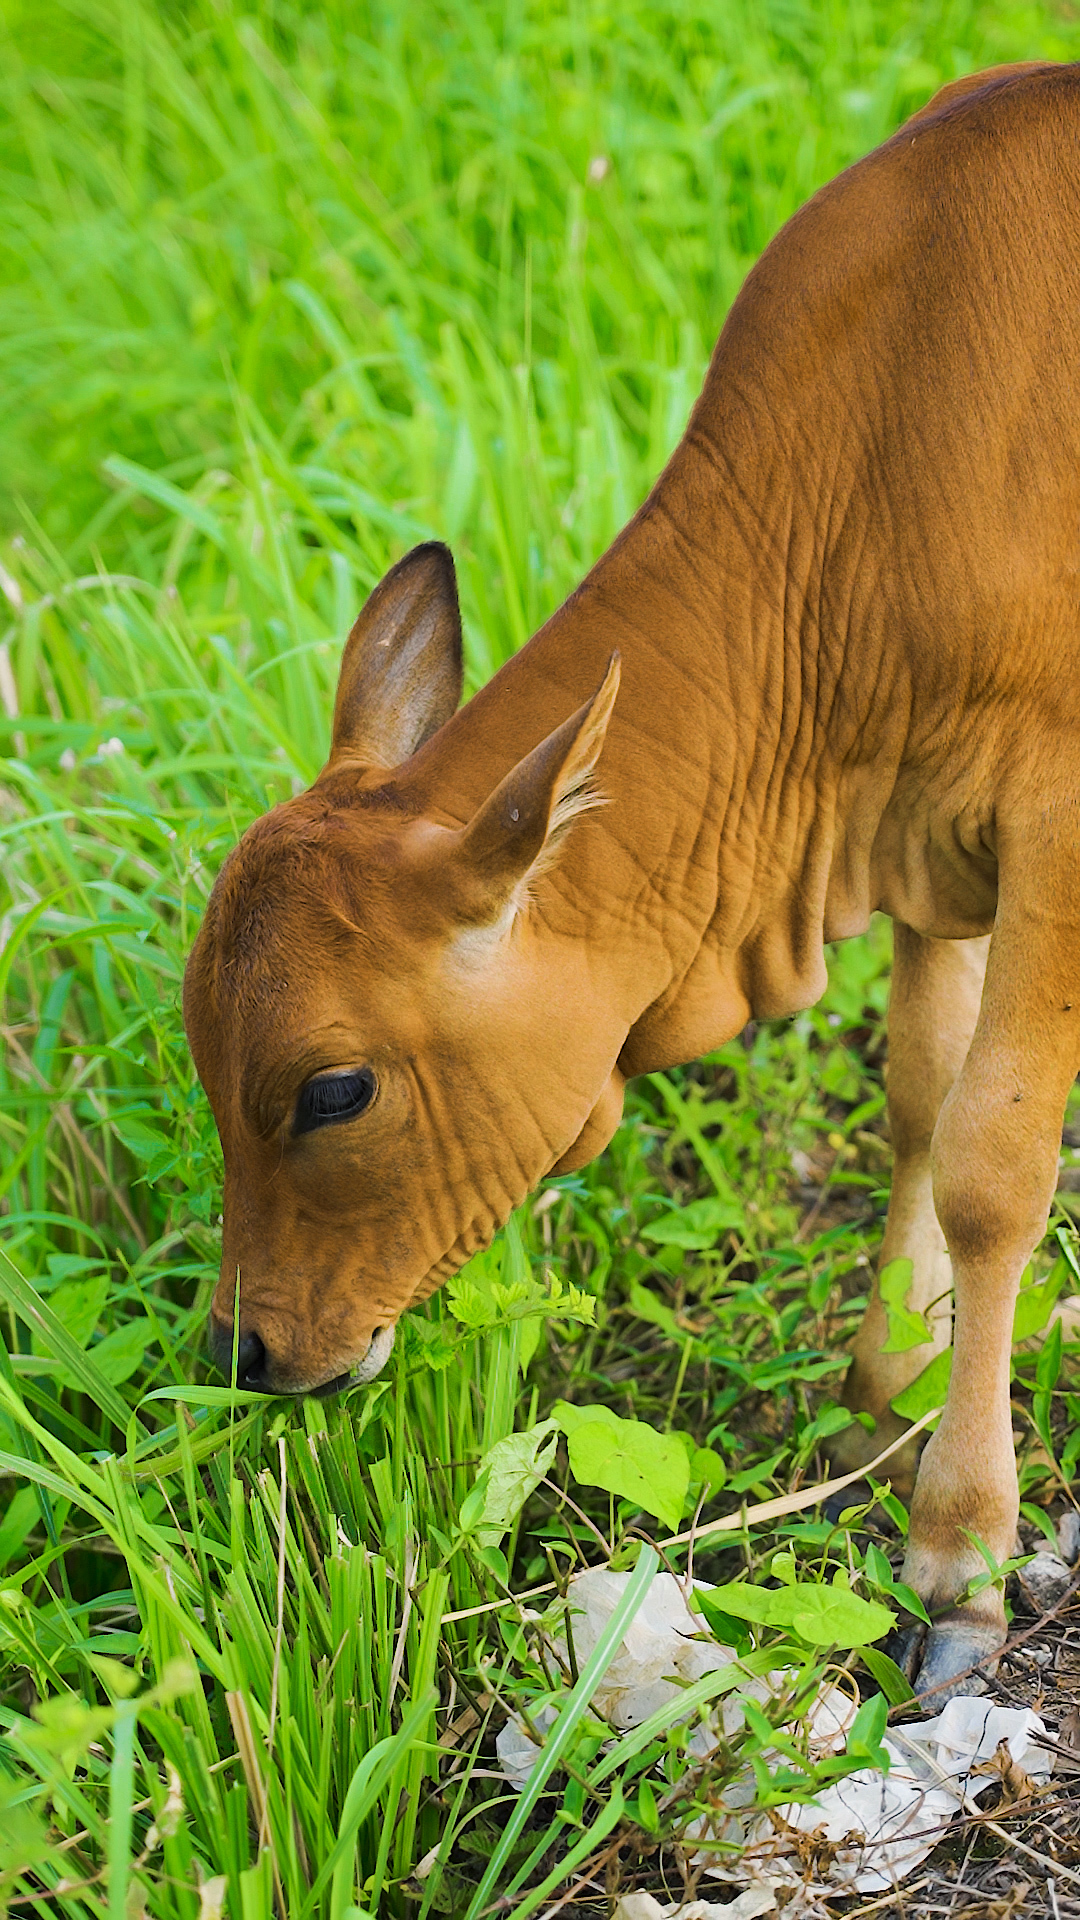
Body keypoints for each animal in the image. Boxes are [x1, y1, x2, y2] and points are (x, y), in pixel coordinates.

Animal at [182, 67, 1076, 1697]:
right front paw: (884, 1391)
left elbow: (990, 1161)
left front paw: (961, 1548)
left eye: (334, 1091)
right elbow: (919, 1098)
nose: (246, 1352)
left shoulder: (1055, 812)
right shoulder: (927, 826)